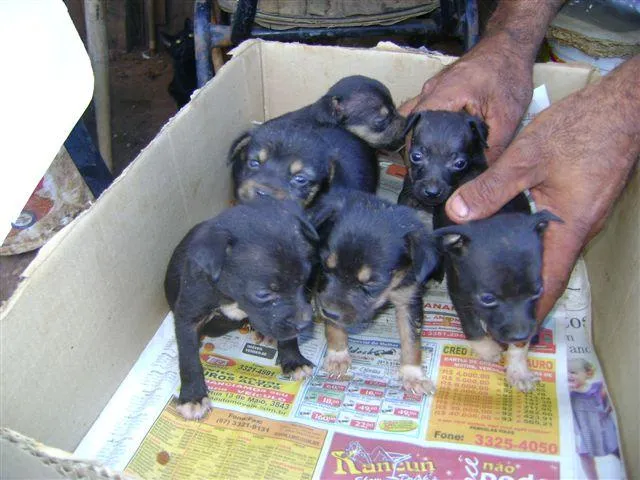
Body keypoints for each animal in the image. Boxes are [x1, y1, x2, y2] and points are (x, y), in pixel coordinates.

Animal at [164, 201, 316, 418]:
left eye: (304, 280)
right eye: (263, 294)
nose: (305, 324)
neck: (232, 297)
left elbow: (287, 335)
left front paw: (294, 360)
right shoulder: (187, 317)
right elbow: (188, 358)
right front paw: (193, 397)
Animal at [310, 189, 440, 396]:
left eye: (372, 283)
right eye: (326, 268)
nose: (328, 312)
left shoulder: (409, 297)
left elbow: (411, 340)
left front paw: (413, 375)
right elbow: (334, 326)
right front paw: (338, 355)